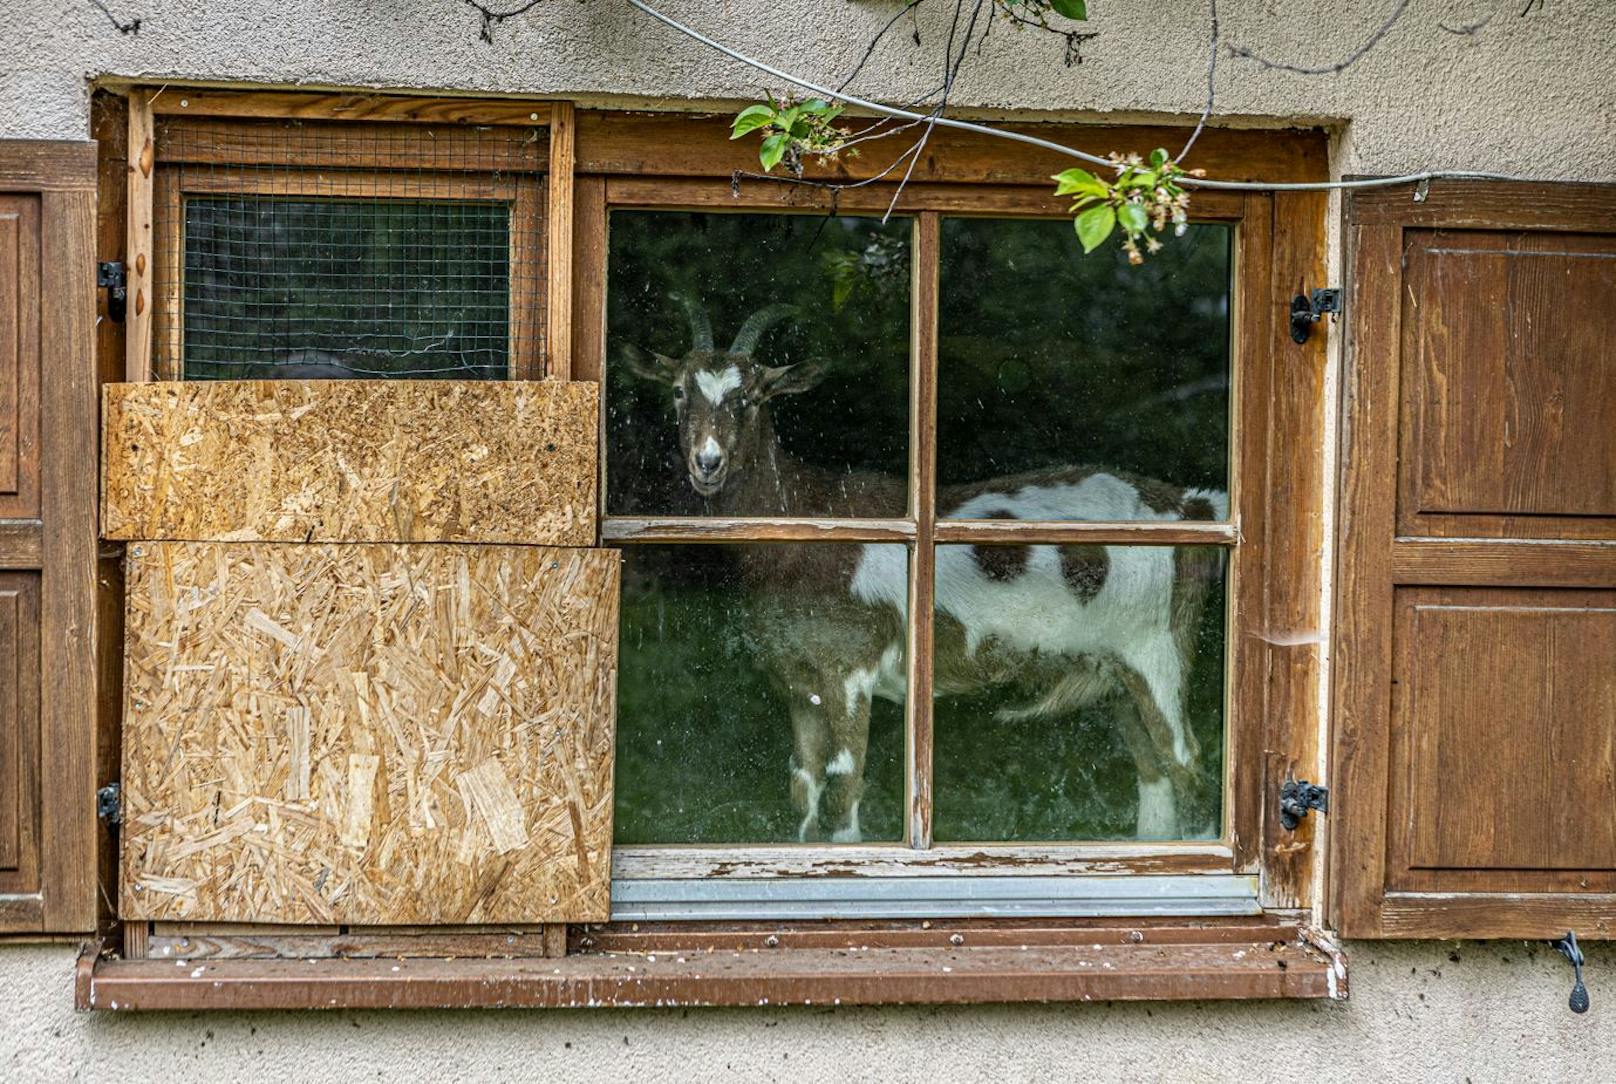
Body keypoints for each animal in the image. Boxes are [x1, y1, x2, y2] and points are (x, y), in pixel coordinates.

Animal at [617, 298, 1221, 846]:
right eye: (678, 392)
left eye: (750, 397)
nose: (708, 462)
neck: (808, 518)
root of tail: (1188, 506)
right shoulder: (799, 679)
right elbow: (804, 791)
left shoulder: (849, 668)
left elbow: (842, 793)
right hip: (1115, 667)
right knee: (1152, 768)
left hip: (1155, 648)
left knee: (1186, 763)